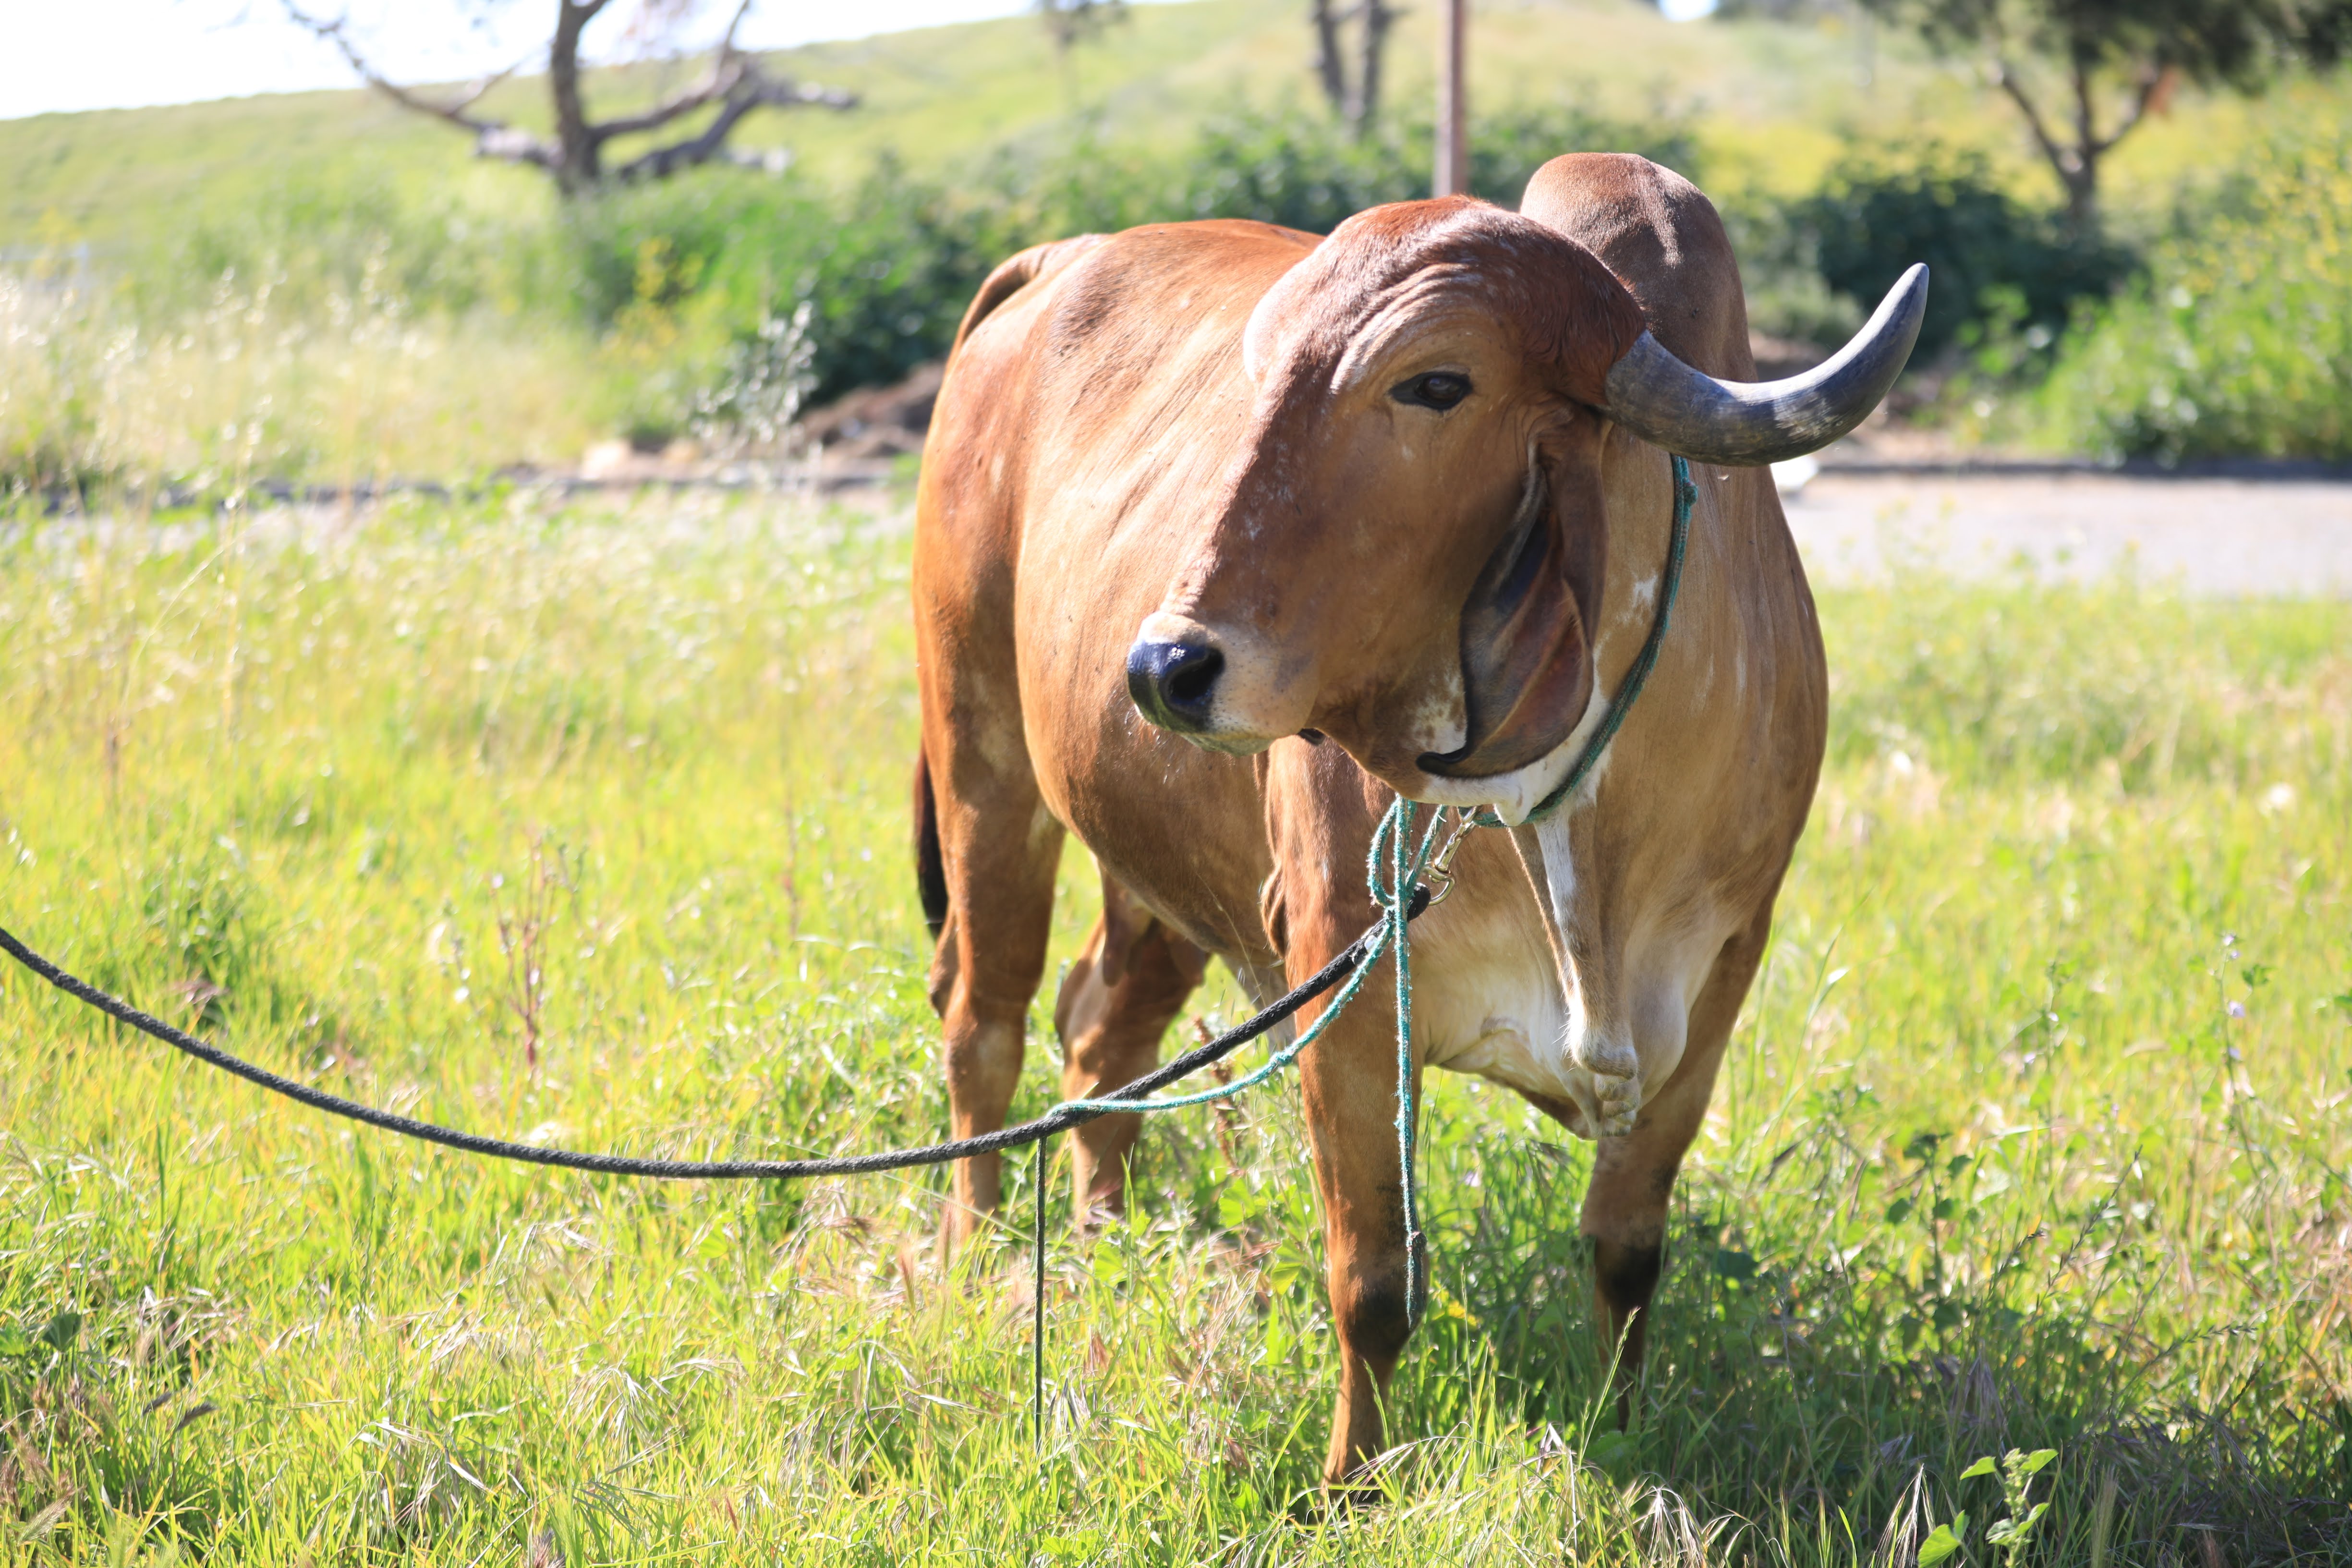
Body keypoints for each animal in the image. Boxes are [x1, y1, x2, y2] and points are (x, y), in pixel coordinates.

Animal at [908, 152, 1924, 1483]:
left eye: (1435, 383)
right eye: (1257, 372)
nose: (1166, 666)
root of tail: (1058, 259)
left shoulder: (1712, 988)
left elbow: (1626, 1254)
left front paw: (1622, 1431)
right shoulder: (1342, 987)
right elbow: (1374, 1284)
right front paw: (1349, 1486)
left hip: (1155, 857)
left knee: (1097, 1036)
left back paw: (1103, 1247)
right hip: (980, 755)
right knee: (985, 1027)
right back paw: (971, 1263)